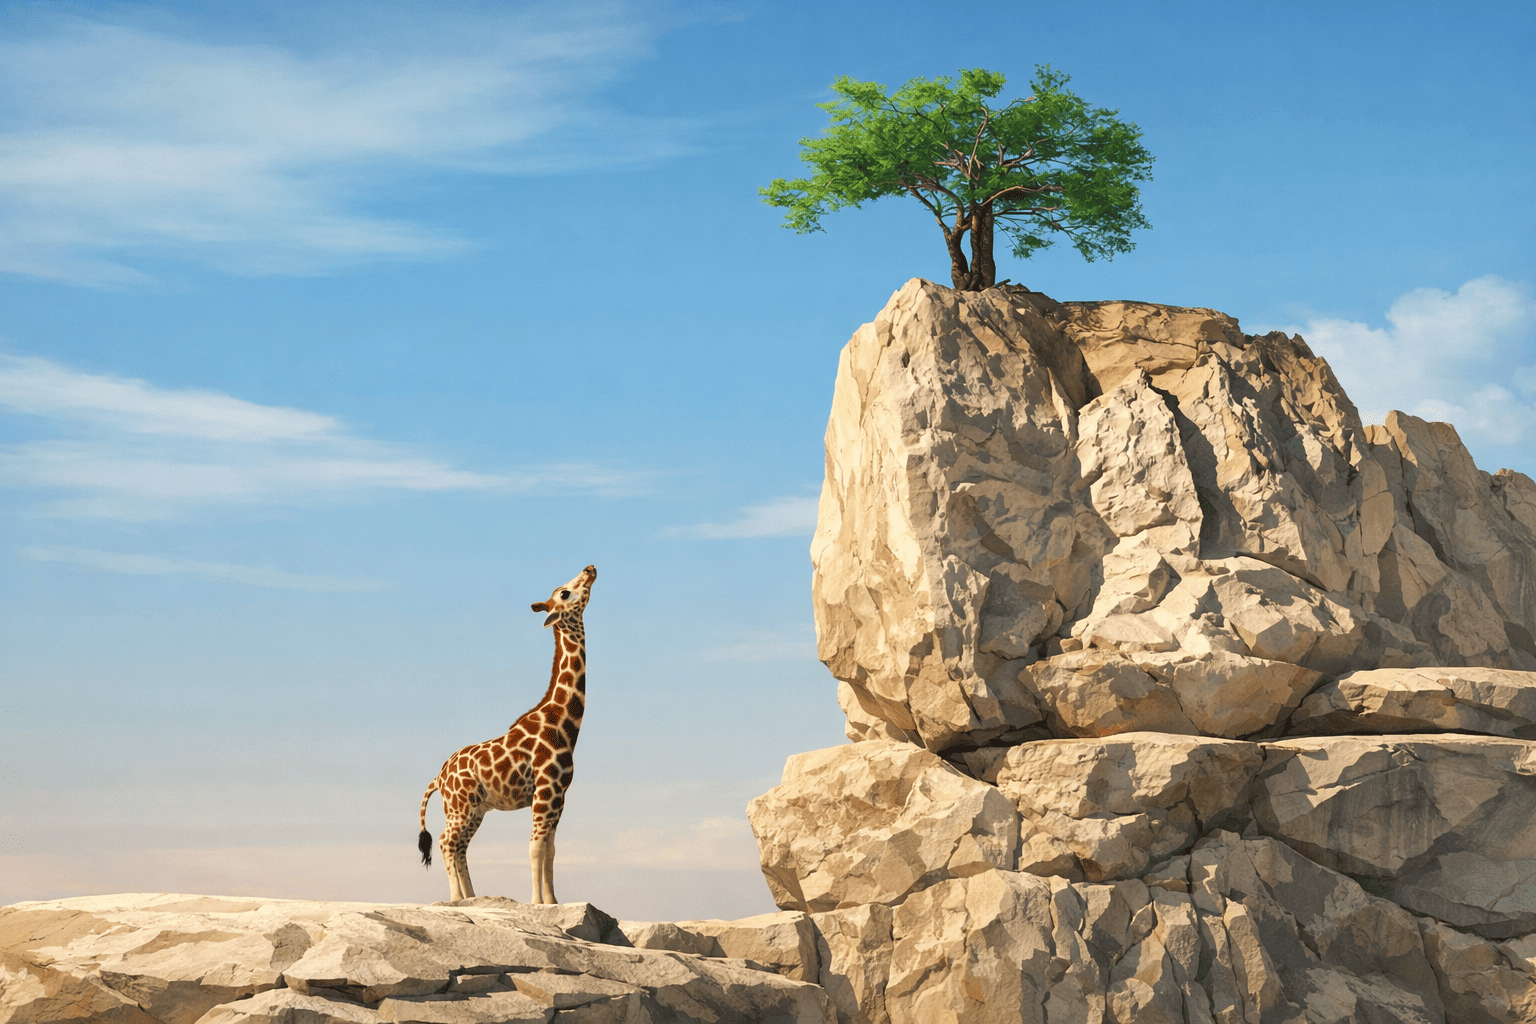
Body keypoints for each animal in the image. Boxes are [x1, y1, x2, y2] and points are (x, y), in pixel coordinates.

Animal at [417, 564, 595, 904]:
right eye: (565, 592)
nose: (590, 568)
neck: (563, 725)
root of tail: (437, 778)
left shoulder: (559, 795)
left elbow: (551, 850)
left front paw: (552, 902)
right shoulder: (545, 790)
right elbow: (536, 848)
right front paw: (536, 902)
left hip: (475, 808)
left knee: (460, 846)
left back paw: (472, 897)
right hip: (459, 807)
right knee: (447, 841)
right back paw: (457, 899)